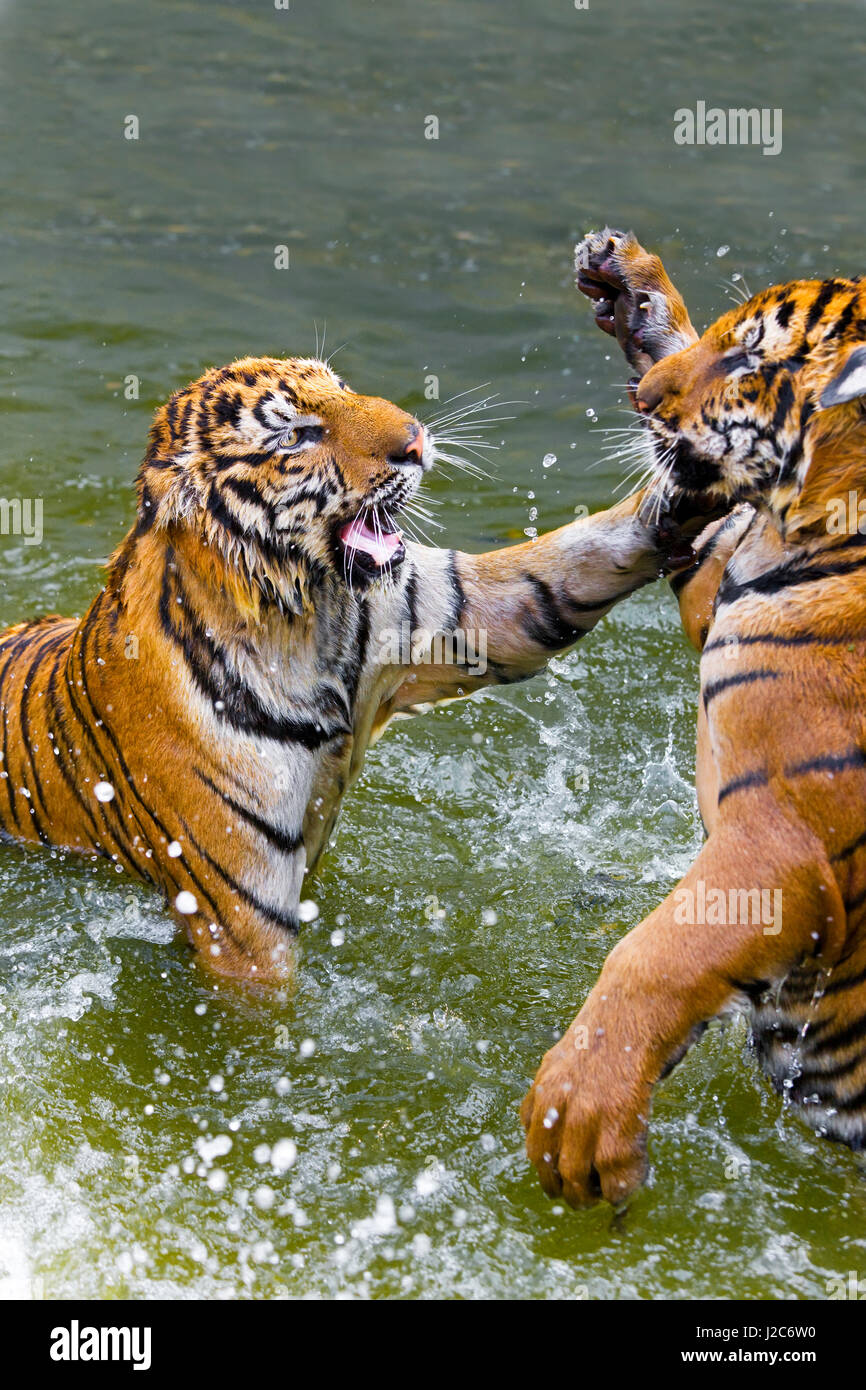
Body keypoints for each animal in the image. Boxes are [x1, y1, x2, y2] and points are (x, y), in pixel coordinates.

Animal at [0, 355, 695, 978]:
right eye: (297, 435)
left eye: (340, 387)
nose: (416, 440)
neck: (304, 617)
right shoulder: (242, 914)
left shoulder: (459, 611)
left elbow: (574, 560)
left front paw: (685, 488)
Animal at [522, 227, 866, 1206]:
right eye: (725, 335)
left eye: (750, 357)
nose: (643, 399)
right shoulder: (722, 573)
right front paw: (633, 291)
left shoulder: (778, 842)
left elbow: (657, 953)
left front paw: (577, 1112)